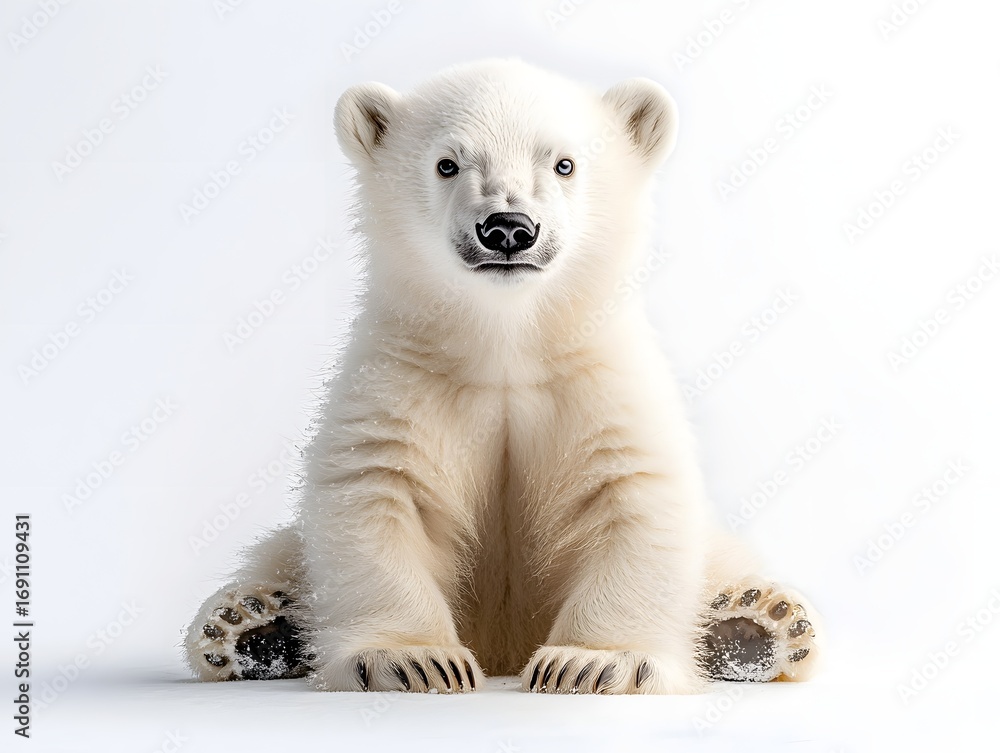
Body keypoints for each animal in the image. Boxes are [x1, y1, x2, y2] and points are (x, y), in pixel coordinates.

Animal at [183, 59, 820, 694]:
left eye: (563, 163)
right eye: (447, 163)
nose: (508, 227)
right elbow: (376, 494)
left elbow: (635, 498)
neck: (506, 343)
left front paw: (592, 662)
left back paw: (756, 624)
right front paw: (413, 660)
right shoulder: (402, 376)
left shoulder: (599, 382)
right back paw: (253, 625)